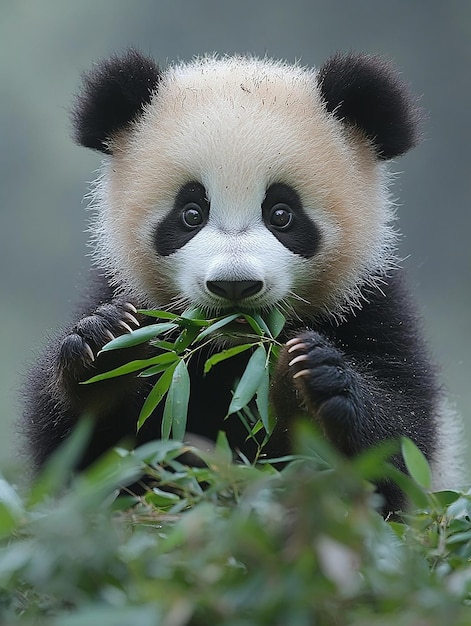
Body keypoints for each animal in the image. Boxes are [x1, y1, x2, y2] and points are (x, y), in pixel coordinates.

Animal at [21, 50, 464, 512]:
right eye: (191, 213)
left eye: (282, 213)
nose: (234, 284)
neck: (233, 350)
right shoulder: (120, 289)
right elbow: (80, 459)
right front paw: (106, 350)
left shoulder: (372, 304)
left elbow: (400, 448)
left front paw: (311, 385)